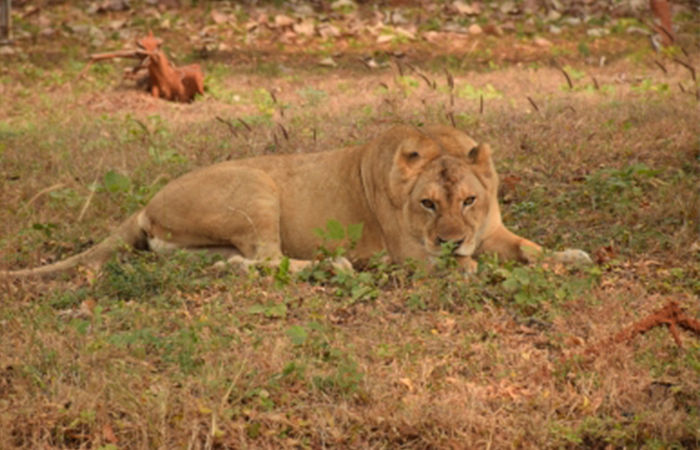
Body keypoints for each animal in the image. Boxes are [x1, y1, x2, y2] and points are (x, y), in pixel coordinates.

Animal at [1, 124, 590, 279]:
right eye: (426, 204)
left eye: (469, 200)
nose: (450, 241)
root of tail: (146, 203)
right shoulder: (409, 254)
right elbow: (460, 268)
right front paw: (464, 267)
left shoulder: (491, 231)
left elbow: (530, 248)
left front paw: (572, 256)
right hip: (257, 189)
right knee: (271, 260)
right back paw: (335, 266)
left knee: (243, 264)